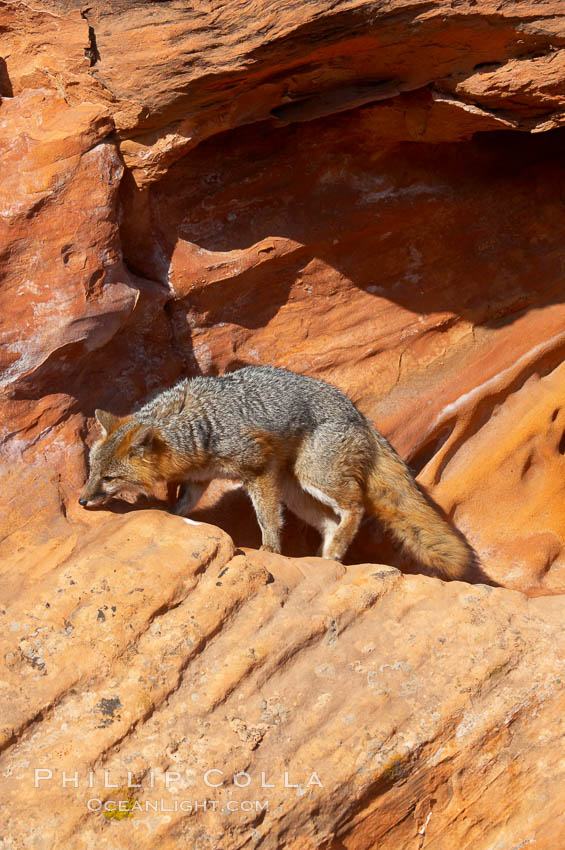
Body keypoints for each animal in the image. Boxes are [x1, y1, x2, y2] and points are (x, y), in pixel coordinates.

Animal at [79, 364, 474, 576]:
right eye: (91, 471)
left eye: (109, 478)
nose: (81, 502)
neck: (194, 424)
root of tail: (357, 411)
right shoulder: (198, 479)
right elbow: (182, 507)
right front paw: (171, 516)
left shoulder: (258, 471)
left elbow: (267, 518)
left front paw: (269, 550)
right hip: (297, 492)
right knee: (330, 522)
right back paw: (327, 558)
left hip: (314, 477)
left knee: (356, 505)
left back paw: (336, 548)